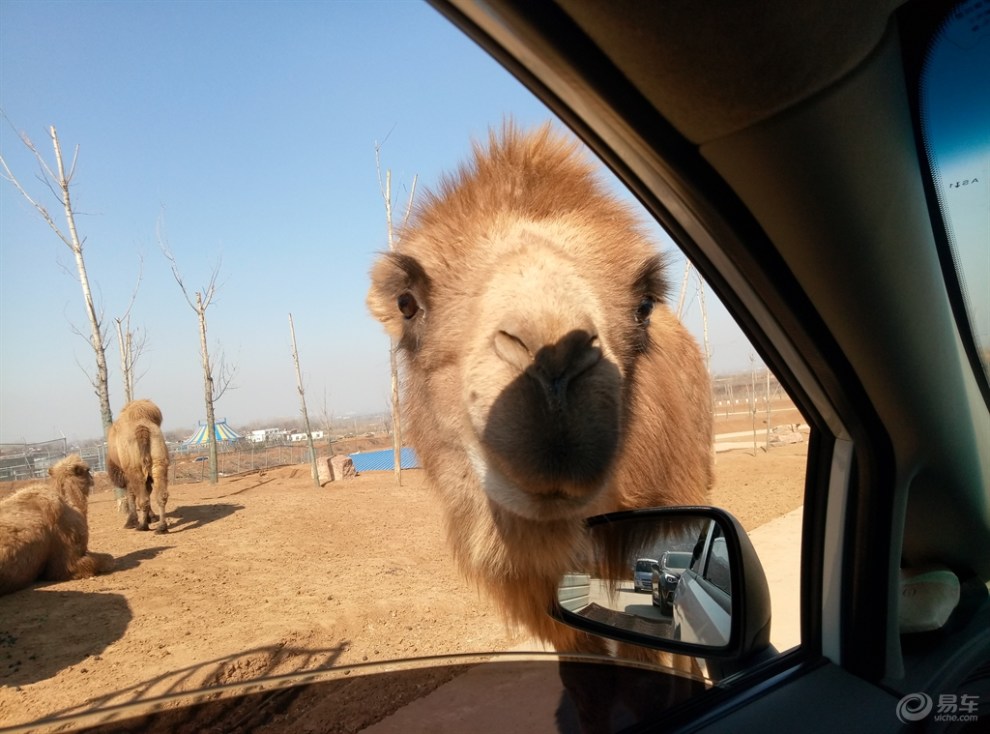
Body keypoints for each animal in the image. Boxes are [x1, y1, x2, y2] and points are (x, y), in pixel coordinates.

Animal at [108, 400, 172, 532]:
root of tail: (142, 427)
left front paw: (131, 522)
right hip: (159, 461)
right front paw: (151, 517)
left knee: (143, 499)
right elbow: (147, 490)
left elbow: (131, 494)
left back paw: (142, 526)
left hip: (134, 468)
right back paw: (161, 527)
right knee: (161, 495)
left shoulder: (127, 473)